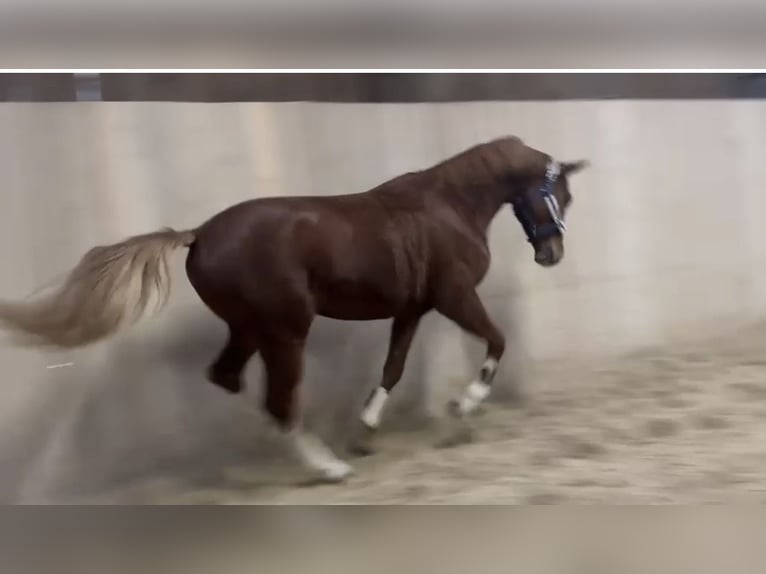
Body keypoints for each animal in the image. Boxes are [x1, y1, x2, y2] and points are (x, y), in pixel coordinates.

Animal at [0, 135, 589, 483]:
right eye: (557, 193)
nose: (552, 254)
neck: (446, 207)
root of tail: (199, 234)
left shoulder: (413, 308)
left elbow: (392, 368)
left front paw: (366, 430)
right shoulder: (455, 297)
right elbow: (497, 341)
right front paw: (463, 407)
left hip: (249, 328)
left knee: (232, 380)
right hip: (286, 329)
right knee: (275, 394)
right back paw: (324, 464)